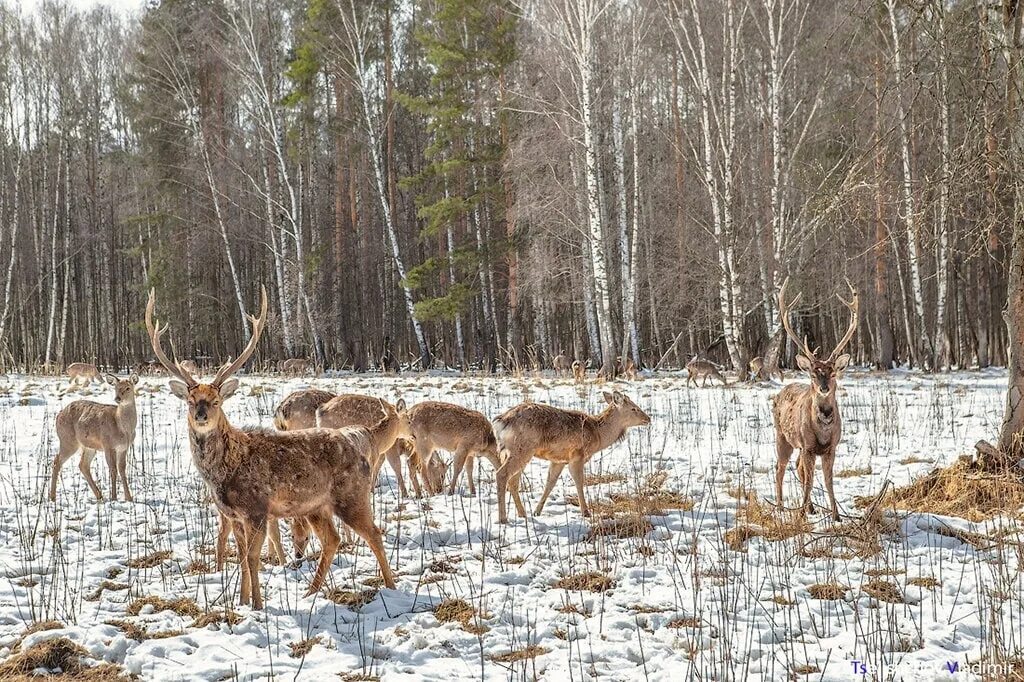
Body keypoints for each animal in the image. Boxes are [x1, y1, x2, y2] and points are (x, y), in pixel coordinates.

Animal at [146, 284, 393, 606]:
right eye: (190, 401)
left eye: (216, 400)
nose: (201, 415)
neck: (223, 470)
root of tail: (359, 448)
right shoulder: (234, 515)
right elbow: (241, 558)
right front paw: (241, 602)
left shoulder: (257, 508)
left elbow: (253, 558)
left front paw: (257, 604)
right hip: (315, 505)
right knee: (332, 539)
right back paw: (311, 592)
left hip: (351, 494)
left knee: (373, 533)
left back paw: (390, 586)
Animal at [493, 387, 647, 520]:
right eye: (634, 408)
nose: (648, 418)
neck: (598, 436)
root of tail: (501, 422)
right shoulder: (577, 456)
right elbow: (579, 482)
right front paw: (586, 512)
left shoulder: (559, 459)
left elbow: (550, 483)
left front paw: (537, 511)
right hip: (522, 448)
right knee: (502, 474)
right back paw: (503, 518)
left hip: (514, 451)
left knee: (513, 480)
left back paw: (523, 514)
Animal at [770, 276, 860, 520]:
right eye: (813, 373)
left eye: (832, 372)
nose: (823, 387)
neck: (823, 432)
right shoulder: (808, 446)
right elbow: (810, 481)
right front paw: (800, 514)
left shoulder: (831, 447)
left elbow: (828, 482)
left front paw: (836, 515)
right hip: (782, 436)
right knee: (780, 467)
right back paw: (780, 506)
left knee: (798, 467)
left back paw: (809, 507)